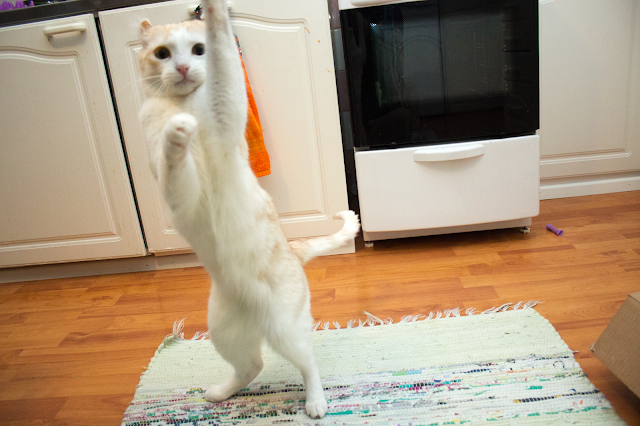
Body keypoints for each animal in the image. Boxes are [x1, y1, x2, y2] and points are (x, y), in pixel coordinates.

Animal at [137, 0, 359, 419]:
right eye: (162, 54)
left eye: (198, 50)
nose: (183, 68)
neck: (184, 105)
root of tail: (293, 250)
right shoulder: (178, 190)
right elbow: (175, 159)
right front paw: (178, 132)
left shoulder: (227, 108)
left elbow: (225, 56)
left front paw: (216, 12)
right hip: (225, 333)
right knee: (251, 365)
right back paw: (220, 393)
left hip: (285, 330)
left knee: (308, 363)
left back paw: (316, 402)